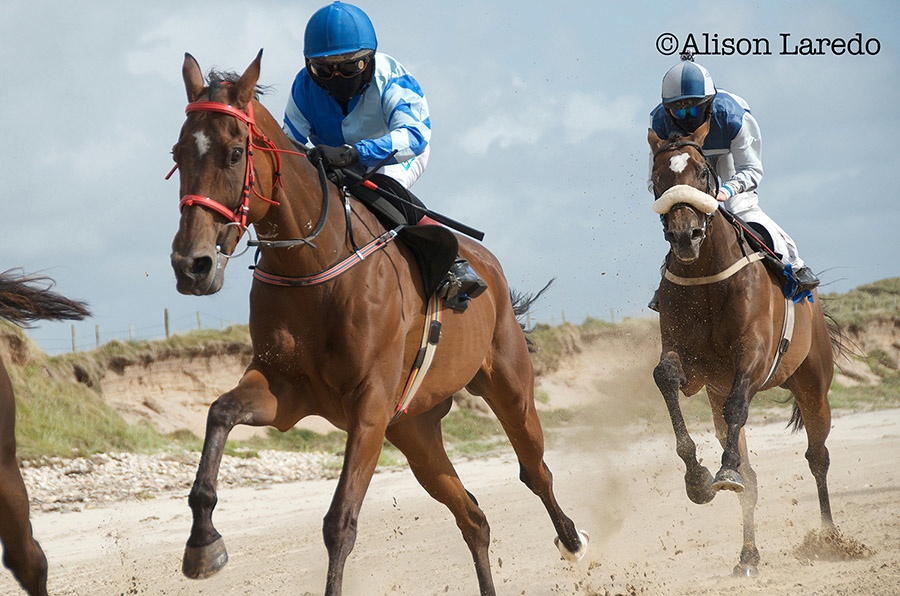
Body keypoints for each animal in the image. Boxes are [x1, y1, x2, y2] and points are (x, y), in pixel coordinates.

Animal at [169, 52, 592, 596]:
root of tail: (489, 265)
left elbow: (340, 523)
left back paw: (573, 541)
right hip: (414, 430)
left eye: (235, 152)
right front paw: (203, 544)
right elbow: (219, 413)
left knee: (535, 471)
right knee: (472, 517)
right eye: (179, 152)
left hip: (509, 386)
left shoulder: (369, 404)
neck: (313, 269)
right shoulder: (285, 391)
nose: (192, 265)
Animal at [648, 122, 836, 576]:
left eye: (702, 172)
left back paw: (830, 538)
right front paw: (697, 477)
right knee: (751, 479)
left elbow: (739, 407)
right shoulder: (696, 369)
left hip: (813, 385)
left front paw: (724, 470)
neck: (706, 274)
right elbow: (666, 377)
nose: (685, 235)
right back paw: (748, 554)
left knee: (817, 456)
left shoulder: (753, 356)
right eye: (657, 177)